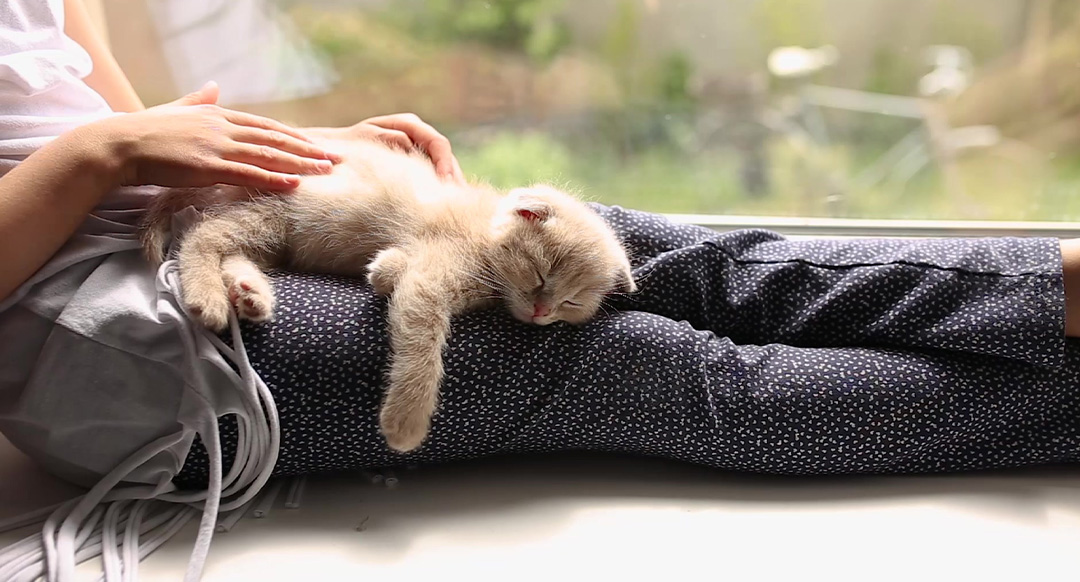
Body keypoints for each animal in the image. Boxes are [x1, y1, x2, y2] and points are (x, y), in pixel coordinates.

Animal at [140, 137, 635, 455]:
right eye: (540, 275)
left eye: (572, 303)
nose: (541, 311)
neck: (485, 241)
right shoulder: (432, 278)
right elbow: (422, 342)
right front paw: (406, 423)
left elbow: (392, 272)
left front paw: (384, 270)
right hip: (278, 213)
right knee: (204, 235)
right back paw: (208, 296)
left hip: (276, 233)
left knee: (232, 247)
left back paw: (249, 293)